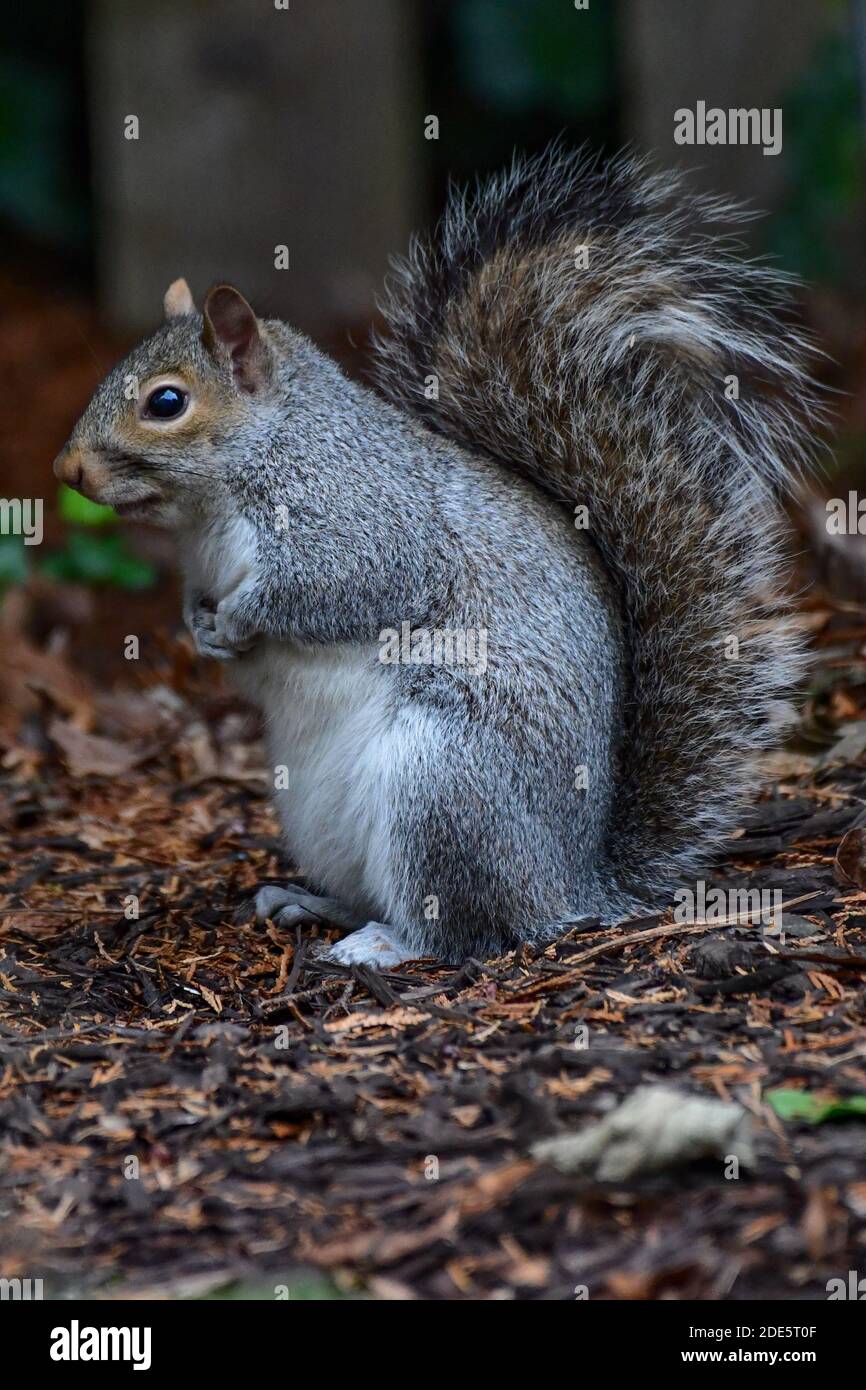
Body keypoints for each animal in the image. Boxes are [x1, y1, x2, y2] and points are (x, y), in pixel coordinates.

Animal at [55, 143, 817, 967]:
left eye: (166, 402)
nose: (68, 470)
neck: (222, 498)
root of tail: (571, 885)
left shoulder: (364, 521)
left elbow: (332, 590)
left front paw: (236, 619)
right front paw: (200, 626)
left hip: (442, 782)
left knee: (460, 930)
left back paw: (382, 945)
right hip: (324, 813)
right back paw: (310, 902)